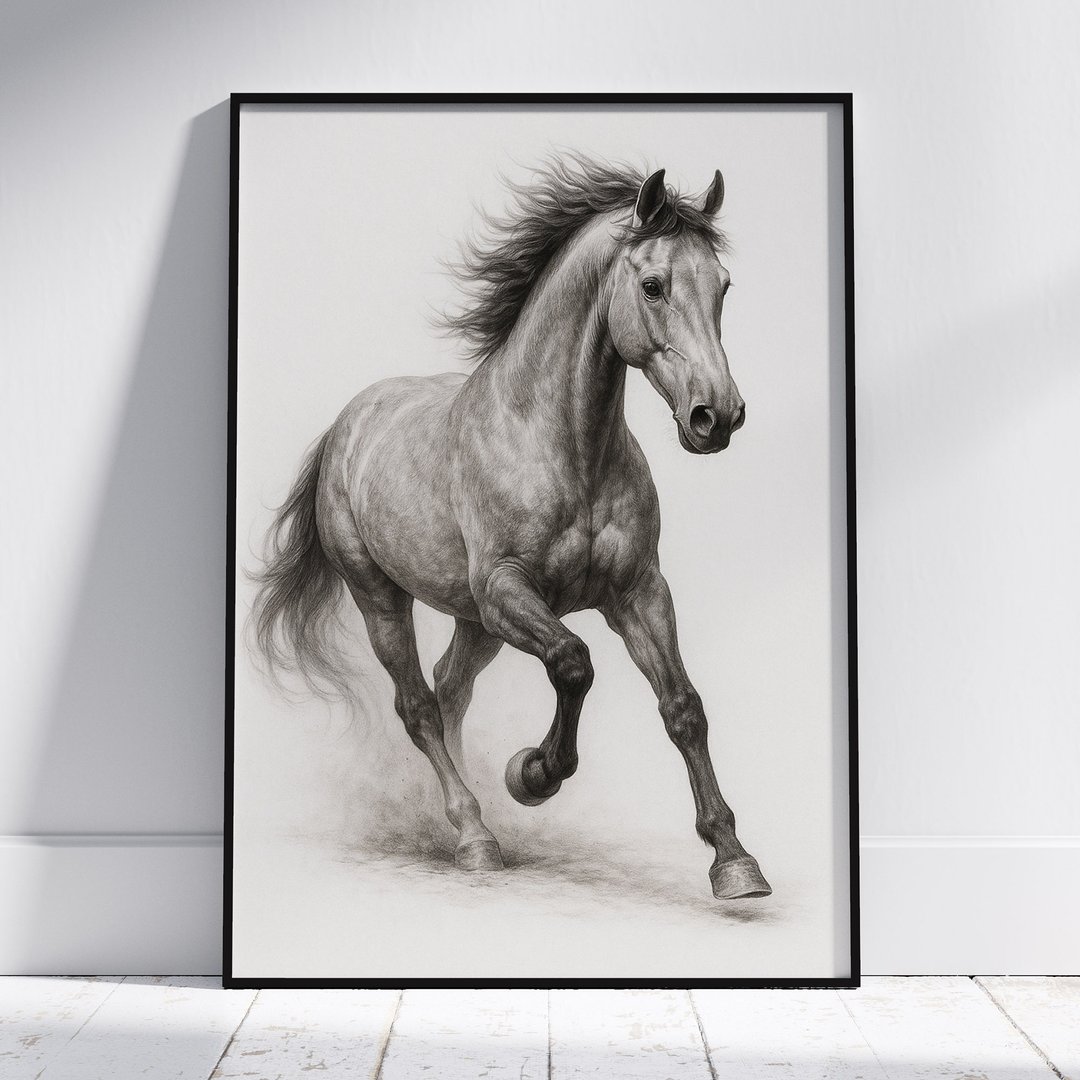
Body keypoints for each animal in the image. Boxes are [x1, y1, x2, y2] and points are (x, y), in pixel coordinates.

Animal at [251, 155, 772, 900]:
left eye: (723, 286)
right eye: (653, 285)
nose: (717, 416)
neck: (565, 448)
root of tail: (347, 423)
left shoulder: (638, 592)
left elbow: (683, 706)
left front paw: (733, 860)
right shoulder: (507, 591)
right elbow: (574, 663)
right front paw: (532, 773)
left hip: (474, 621)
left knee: (450, 687)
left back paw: (452, 816)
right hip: (383, 596)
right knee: (419, 704)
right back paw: (473, 834)